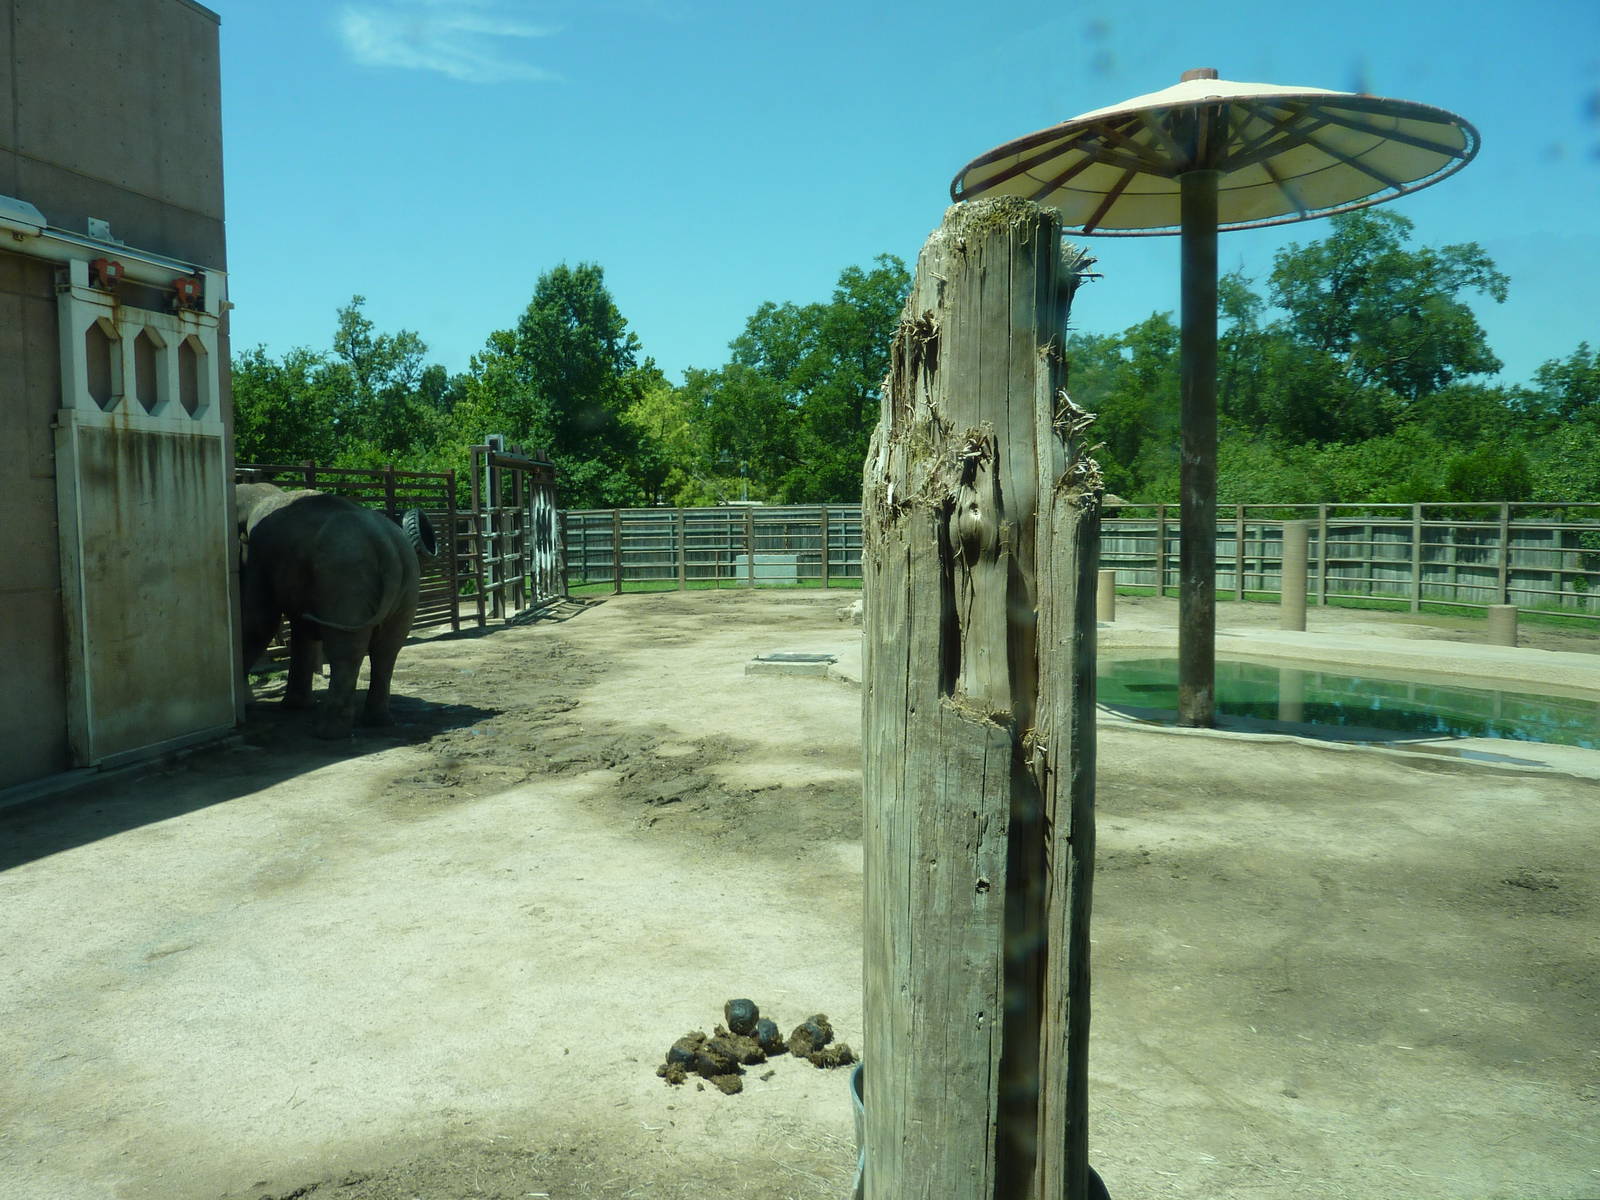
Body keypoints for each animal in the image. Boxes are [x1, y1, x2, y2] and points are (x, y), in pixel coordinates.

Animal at [236, 483, 421, 738]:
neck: (261, 493)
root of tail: (386, 546)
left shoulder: (260, 554)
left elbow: (259, 621)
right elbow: (300, 629)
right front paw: (294, 707)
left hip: (345, 577)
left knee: (346, 651)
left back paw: (328, 732)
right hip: (407, 584)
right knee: (387, 650)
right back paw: (378, 721)